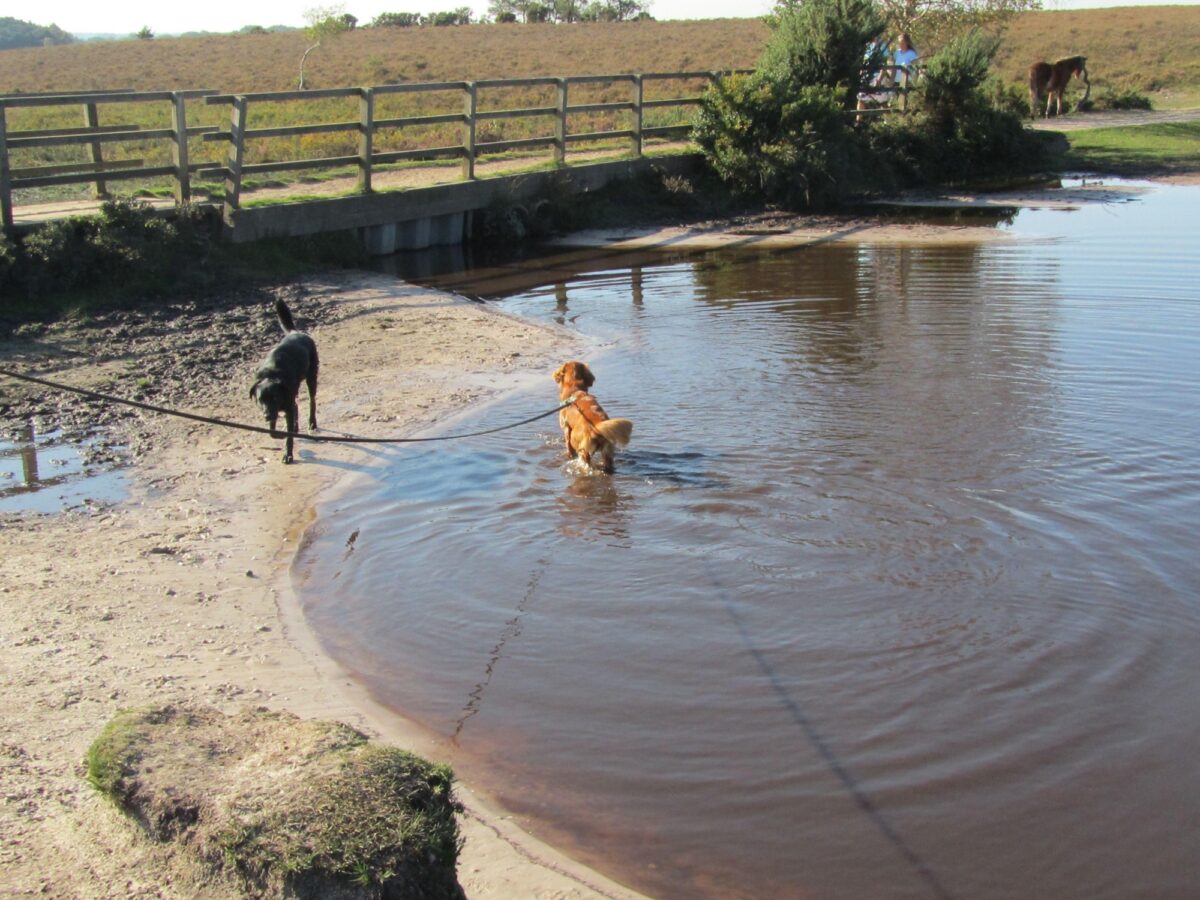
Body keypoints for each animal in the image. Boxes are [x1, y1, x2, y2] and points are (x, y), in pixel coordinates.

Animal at [249, 300, 319, 465]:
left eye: (275, 398)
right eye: (261, 400)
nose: (267, 416)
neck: (271, 376)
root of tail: (295, 332)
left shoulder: (284, 407)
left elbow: (289, 437)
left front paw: (288, 454)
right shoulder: (274, 409)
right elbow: (272, 432)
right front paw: (279, 434)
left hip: (311, 378)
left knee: (311, 401)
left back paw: (312, 423)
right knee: (296, 406)